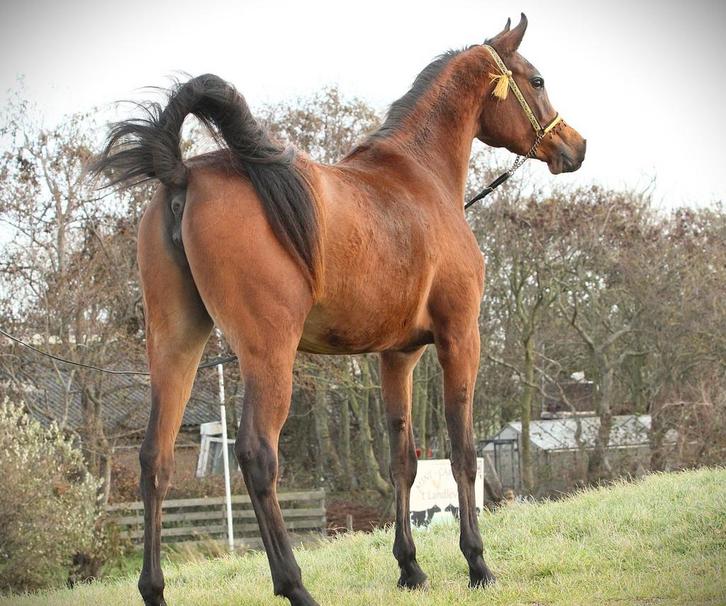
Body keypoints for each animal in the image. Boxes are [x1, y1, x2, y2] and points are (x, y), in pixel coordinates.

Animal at [92, 13, 585, 606]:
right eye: (536, 80)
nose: (576, 146)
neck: (420, 178)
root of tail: (183, 174)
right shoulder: (459, 338)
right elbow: (464, 453)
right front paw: (477, 564)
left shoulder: (398, 356)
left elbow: (403, 461)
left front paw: (410, 568)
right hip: (269, 353)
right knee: (257, 455)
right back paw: (295, 585)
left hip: (176, 345)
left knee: (156, 460)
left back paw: (155, 588)